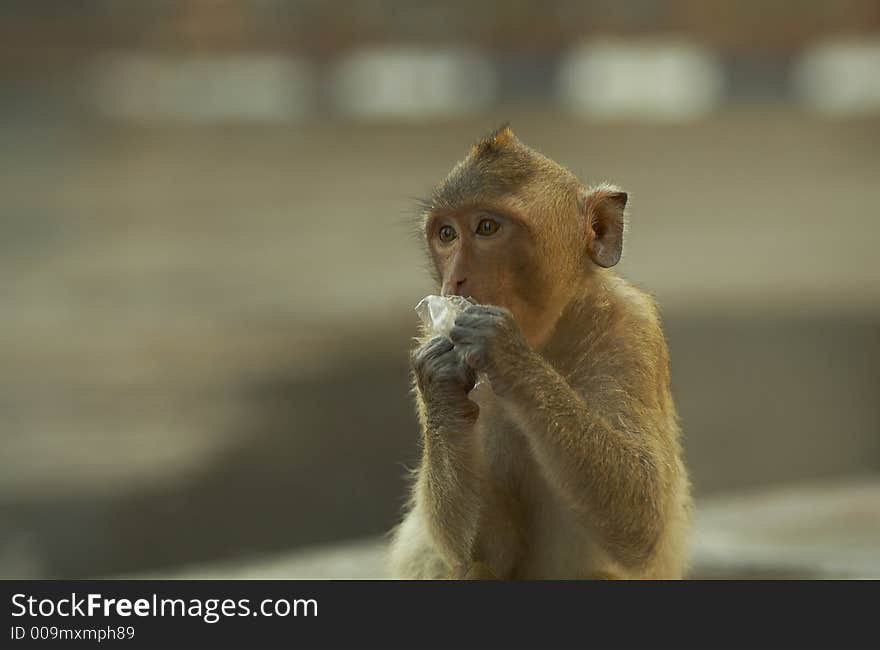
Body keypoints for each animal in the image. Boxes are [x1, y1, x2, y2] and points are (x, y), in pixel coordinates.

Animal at [388, 125, 692, 576]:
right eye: (447, 235)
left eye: (486, 227)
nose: (455, 280)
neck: (547, 340)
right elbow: (482, 549)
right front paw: (439, 383)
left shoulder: (632, 331)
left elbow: (643, 517)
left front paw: (507, 354)